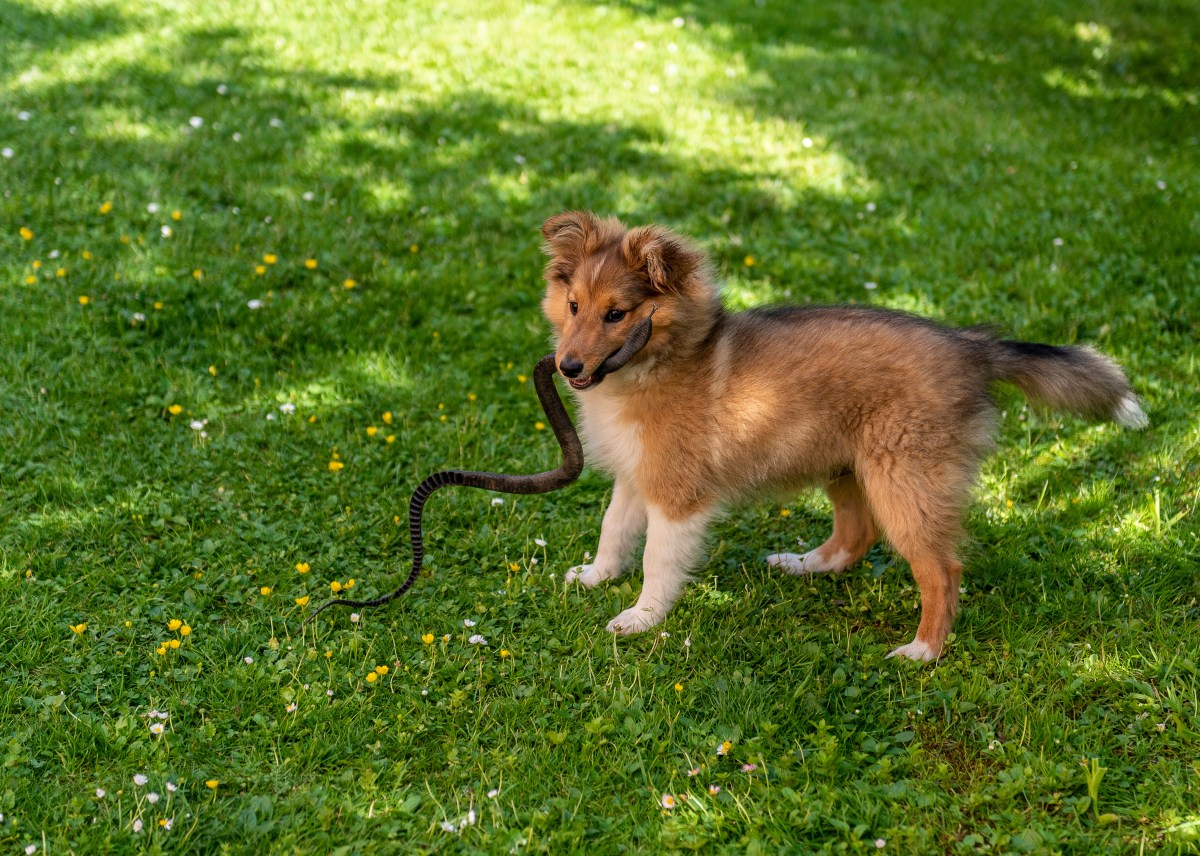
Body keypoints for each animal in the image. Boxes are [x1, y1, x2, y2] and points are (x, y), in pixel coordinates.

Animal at [540, 208, 1147, 662]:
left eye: (617, 314)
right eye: (574, 306)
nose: (568, 368)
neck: (657, 362)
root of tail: (974, 347)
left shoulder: (676, 493)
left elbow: (657, 561)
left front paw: (640, 618)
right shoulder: (635, 476)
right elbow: (614, 531)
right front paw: (595, 577)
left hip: (903, 479)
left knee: (941, 569)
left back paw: (923, 650)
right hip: (844, 462)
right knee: (857, 535)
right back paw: (804, 565)